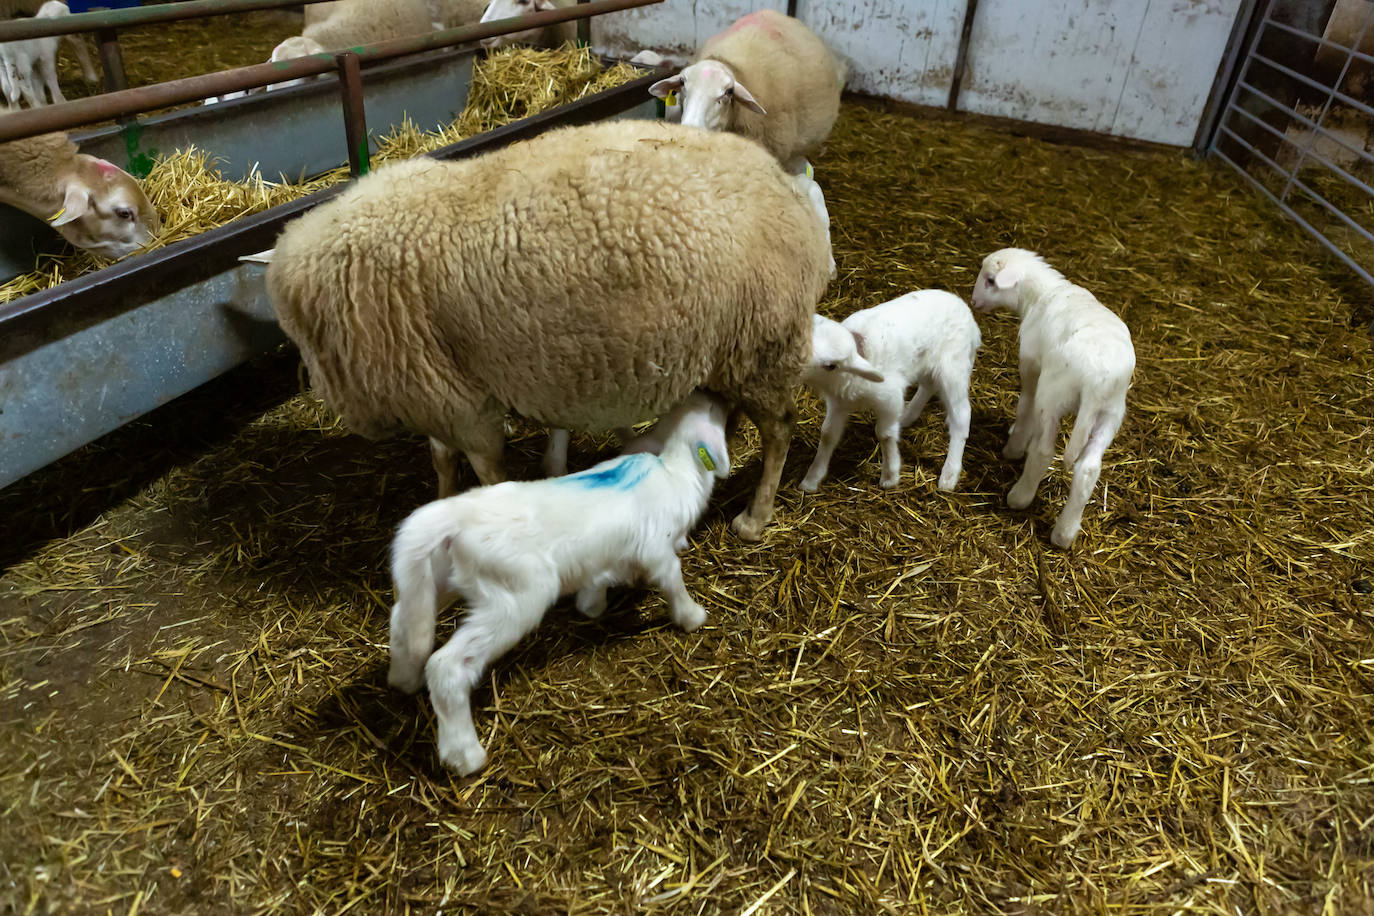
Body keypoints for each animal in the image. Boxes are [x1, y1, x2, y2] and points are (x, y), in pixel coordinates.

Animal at [262, 118, 829, 541]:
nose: (304, 377)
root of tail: (784, 186)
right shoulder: (435, 393)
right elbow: (441, 461)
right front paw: (438, 504)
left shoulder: (463, 403)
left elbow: (485, 471)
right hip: (731, 348)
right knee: (728, 413)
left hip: (764, 340)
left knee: (780, 428)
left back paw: (755, 518)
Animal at [802, 292, 983, 494]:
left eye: (830, 365)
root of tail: (966, 312)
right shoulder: (838, 403)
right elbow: (828, 435)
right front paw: (811, 479)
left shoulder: (890, 398)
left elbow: (884, 434)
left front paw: (890, 476)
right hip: (926, 362)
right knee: (928, 386)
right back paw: (906, 416)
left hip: (954, 367)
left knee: (961, 415)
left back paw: (949, 475)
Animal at [972, 247, 1132, 549]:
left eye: (990, 280)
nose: (974, 301)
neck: (1042, 293)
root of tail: (1096, 381)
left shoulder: (1031, 367)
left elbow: (1025, 405)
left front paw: (1013, 447)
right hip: (1111, 412)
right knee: (1088, 469)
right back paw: (1064, 534)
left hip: (1053, 394)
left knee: (1044, 450)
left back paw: (1020, 496)